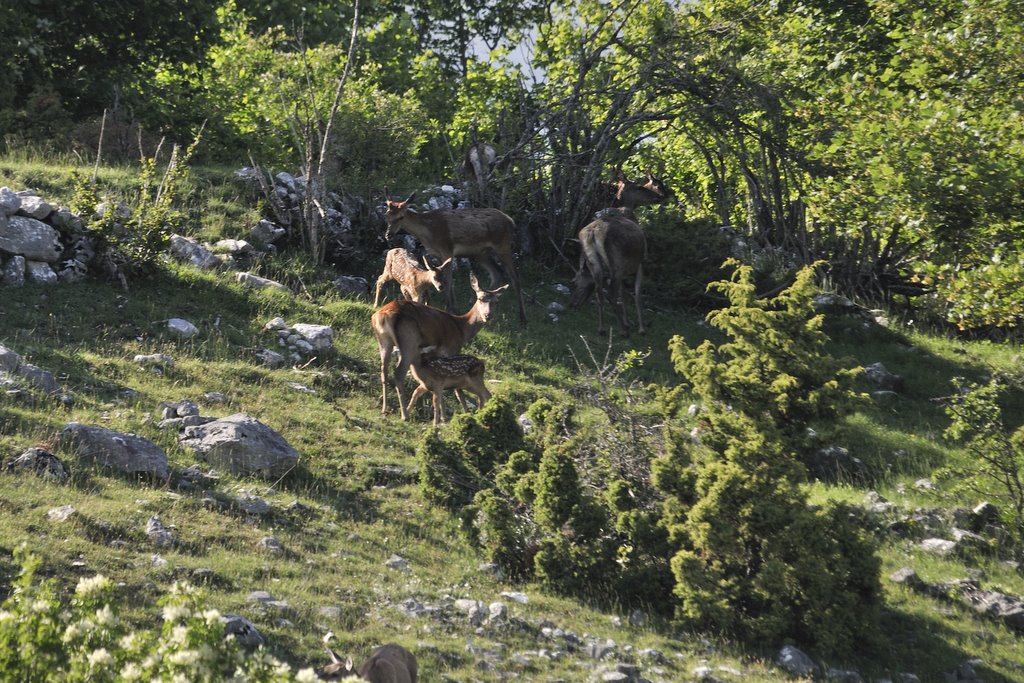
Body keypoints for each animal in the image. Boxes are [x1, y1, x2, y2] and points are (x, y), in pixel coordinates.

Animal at [372, 270, 507, 419]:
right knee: (399, 372)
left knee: (383, 370)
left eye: (496, 301)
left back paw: (385, 408)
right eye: (480, 298)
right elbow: (456, 389)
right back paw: (405, 415)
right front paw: (455, 414)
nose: (488, 315)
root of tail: (383, 315)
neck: (461, 329)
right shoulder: (450, 349)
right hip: (409, 340)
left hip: (384, 341)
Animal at [385, 188, 528, 325]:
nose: (388, 234)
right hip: (481, 253)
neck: (428, 233)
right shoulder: (439, 254)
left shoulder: (446, 249)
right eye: (387, 214)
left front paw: (449, 308)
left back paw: (522, 318)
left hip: (503, 245)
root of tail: (511, 221)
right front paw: (455, 309)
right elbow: (448, 280)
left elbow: (448, 281)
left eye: (401, 217)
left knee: (515, 278)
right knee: (497, 272)